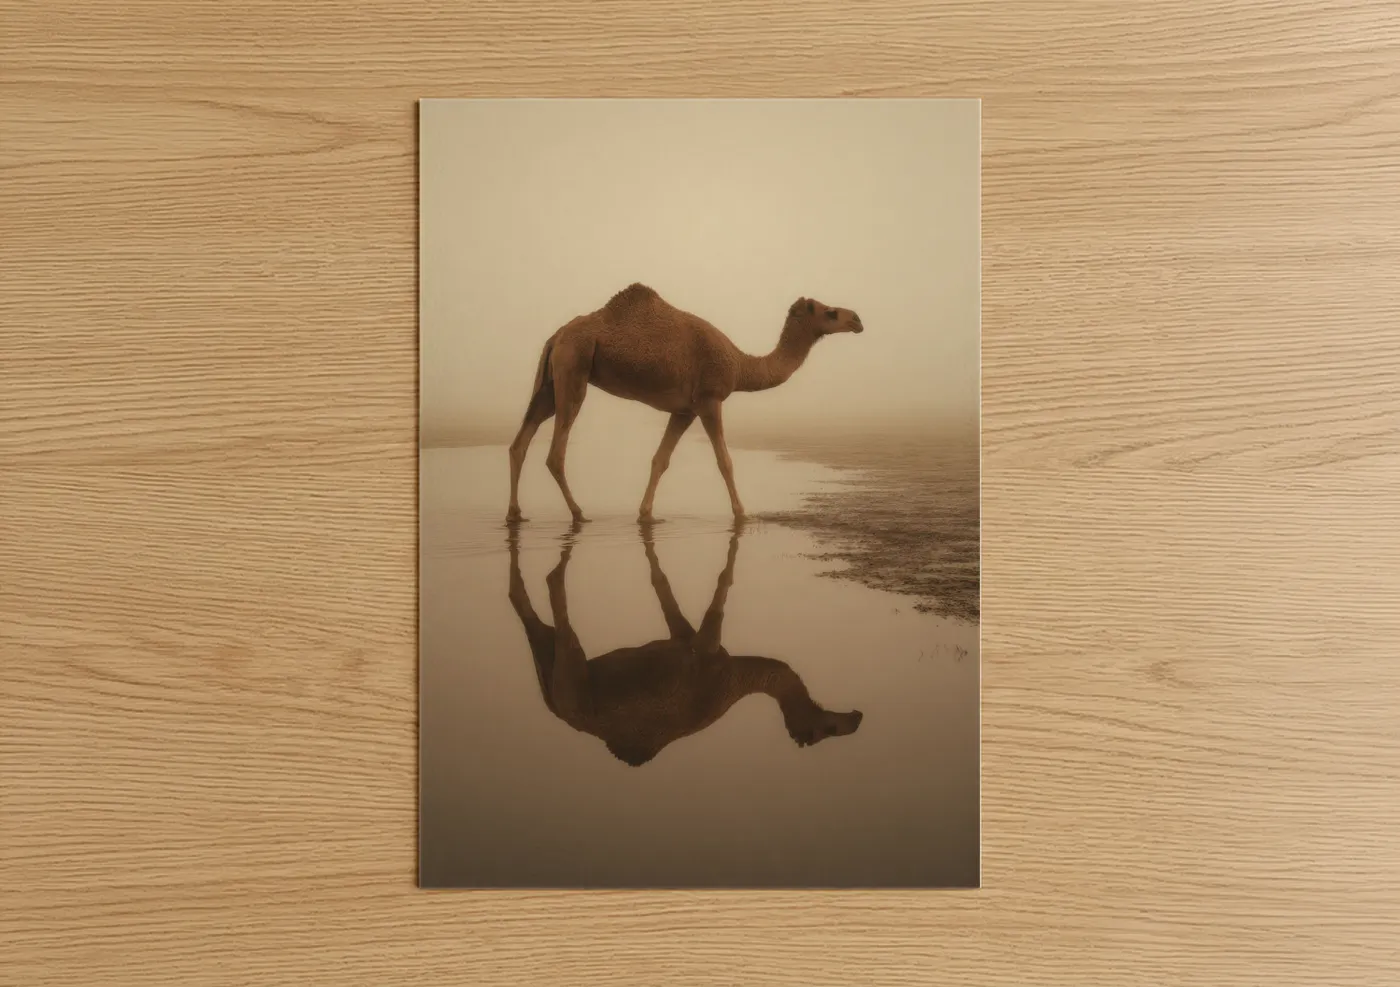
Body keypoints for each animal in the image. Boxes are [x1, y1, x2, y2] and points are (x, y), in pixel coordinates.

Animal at [506, 284, 865, 523]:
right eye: (830, 312)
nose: (857, 320)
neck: (741, 365)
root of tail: (556, 337)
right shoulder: (709, 400)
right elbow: (725, 461)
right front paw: (741, 514)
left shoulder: (684, 410)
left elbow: (660, 460)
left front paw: (646, 514)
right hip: (574, 368)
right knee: (556, 452)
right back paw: (579, 513)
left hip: (552, 381)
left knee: (520, 441)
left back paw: (515, 513)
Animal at [506, 525, 864, 767]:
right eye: (828, 729)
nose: (857, 717)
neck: (736, 679)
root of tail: (558, 708)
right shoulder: (707, 648)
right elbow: (718, 594)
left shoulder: (685, 636)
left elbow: (667, 593)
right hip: (573, 680)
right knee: (558, 607)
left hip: (552, 669)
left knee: (538, 625)